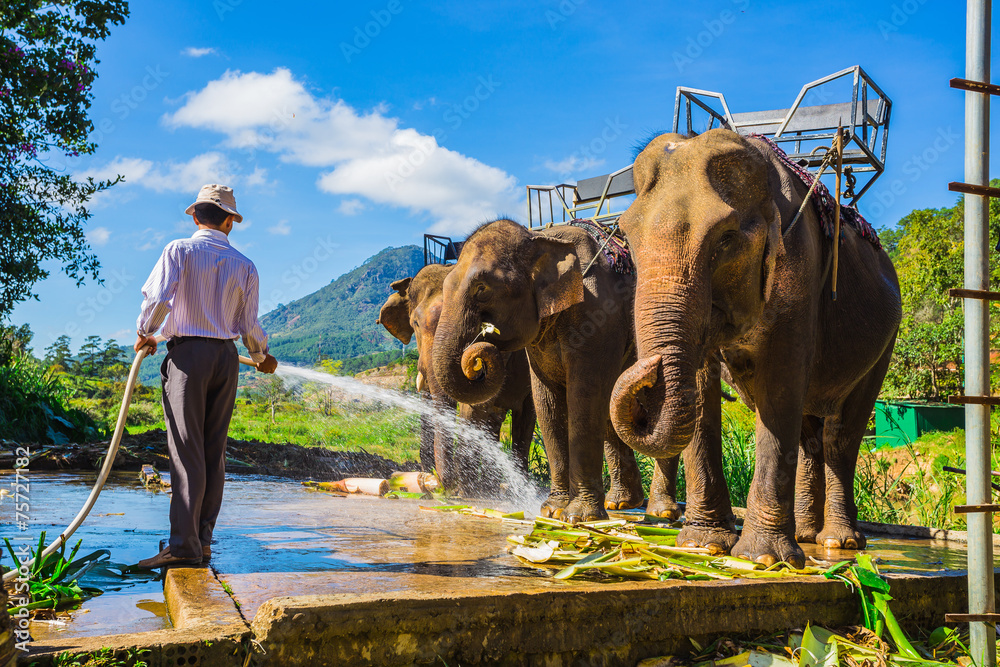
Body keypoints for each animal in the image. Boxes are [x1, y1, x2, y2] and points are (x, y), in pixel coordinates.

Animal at [377, 263, 536, 494]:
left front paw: (463, 491)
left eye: (477, 324)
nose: (437, 483)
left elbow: (472, 410)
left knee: (525, 419)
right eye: (415, 323)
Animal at [431, 218, 680, 522]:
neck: (543, 238)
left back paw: (661, 513)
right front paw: (553, 510)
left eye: (482, 289)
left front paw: (580, 517)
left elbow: (584, 396)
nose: (478, 356)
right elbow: (546, 402)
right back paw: (621, 503)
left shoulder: (599, 316)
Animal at [610, 129, 901, 567]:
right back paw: (808, 534)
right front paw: (704, 546)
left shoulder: (800, 265)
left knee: (841, 435)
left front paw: (762, 558)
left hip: (884, 343)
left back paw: (840, 543)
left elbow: (780, 386)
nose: (648, 369)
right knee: (810, 432)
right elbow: (702, 387)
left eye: (726, 240)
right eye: (626, 236)